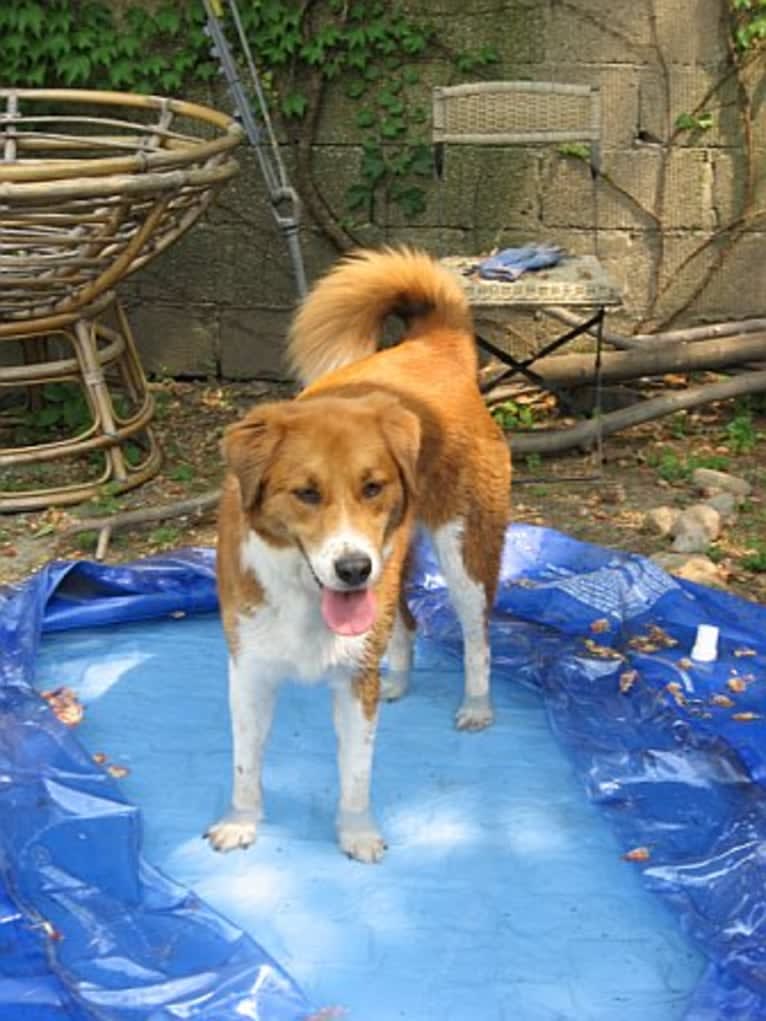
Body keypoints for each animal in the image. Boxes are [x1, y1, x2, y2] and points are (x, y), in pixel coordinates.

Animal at [207, 247, 512, 861]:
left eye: (372, 486)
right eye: (306, 493)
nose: (353, 569)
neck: (303, 595)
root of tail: (433, 344)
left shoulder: (351, 684)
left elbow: (356, 772)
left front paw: (357, 833)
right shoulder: (249, 671)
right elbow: (246, 765)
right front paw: (242, 822)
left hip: (464, 551)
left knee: (478, 637)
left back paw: (475, 705)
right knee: (406, 621)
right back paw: (397, 681)